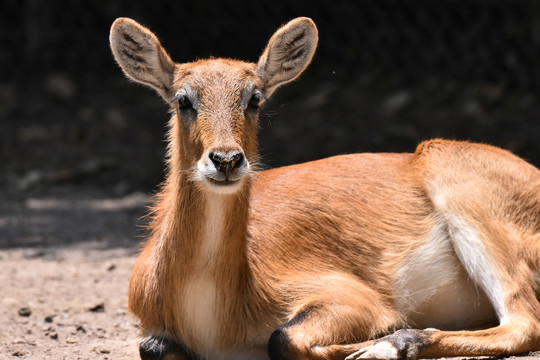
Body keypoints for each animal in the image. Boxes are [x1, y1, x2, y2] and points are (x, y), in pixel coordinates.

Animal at [109, 16, 540, 360]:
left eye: (254, 98)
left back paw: (390, 344)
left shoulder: (349, 296)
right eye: (183, 100)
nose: (226, 160)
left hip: (471, 203)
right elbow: (151, 346)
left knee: (524, 324)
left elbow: (282, 339)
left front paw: (381, 337)